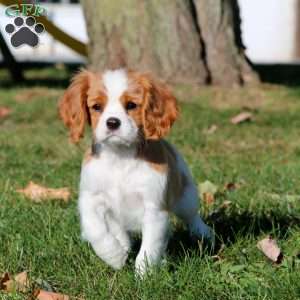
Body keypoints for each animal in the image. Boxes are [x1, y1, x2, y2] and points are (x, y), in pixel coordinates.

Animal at [59, 69, 213, 276]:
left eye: (131, 105)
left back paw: (203, 233)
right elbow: (96, 230)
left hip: (185, 195)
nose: (112, 122)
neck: (119, 156)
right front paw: (114, 256)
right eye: (97, 106)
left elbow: (150, 245)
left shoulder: (154, 208)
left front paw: (144, 275)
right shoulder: (90, 199)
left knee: (191, 216)